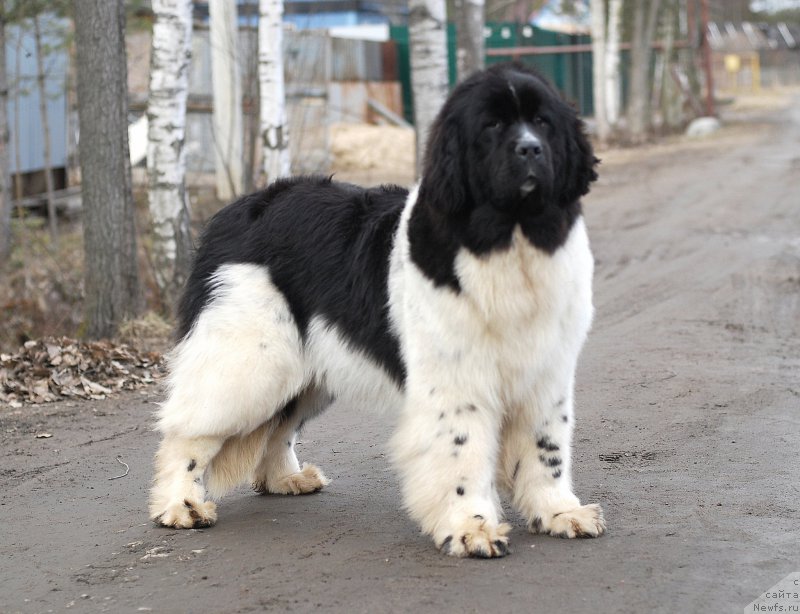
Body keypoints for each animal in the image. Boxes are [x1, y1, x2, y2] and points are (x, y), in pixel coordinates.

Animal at [150, 62, 604, 560]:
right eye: (492, 126)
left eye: (543, 122)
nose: (530, 149)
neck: (510, 240)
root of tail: (229, 213)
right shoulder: (455, 381)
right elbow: (461, 452)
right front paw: (471, 528)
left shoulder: (546, 371)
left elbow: (547, 449)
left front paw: (560, 513)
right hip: (251, 360)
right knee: (189, 430)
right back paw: (180, 505)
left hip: (309, 365)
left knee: (280, 425)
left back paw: (286, 479)